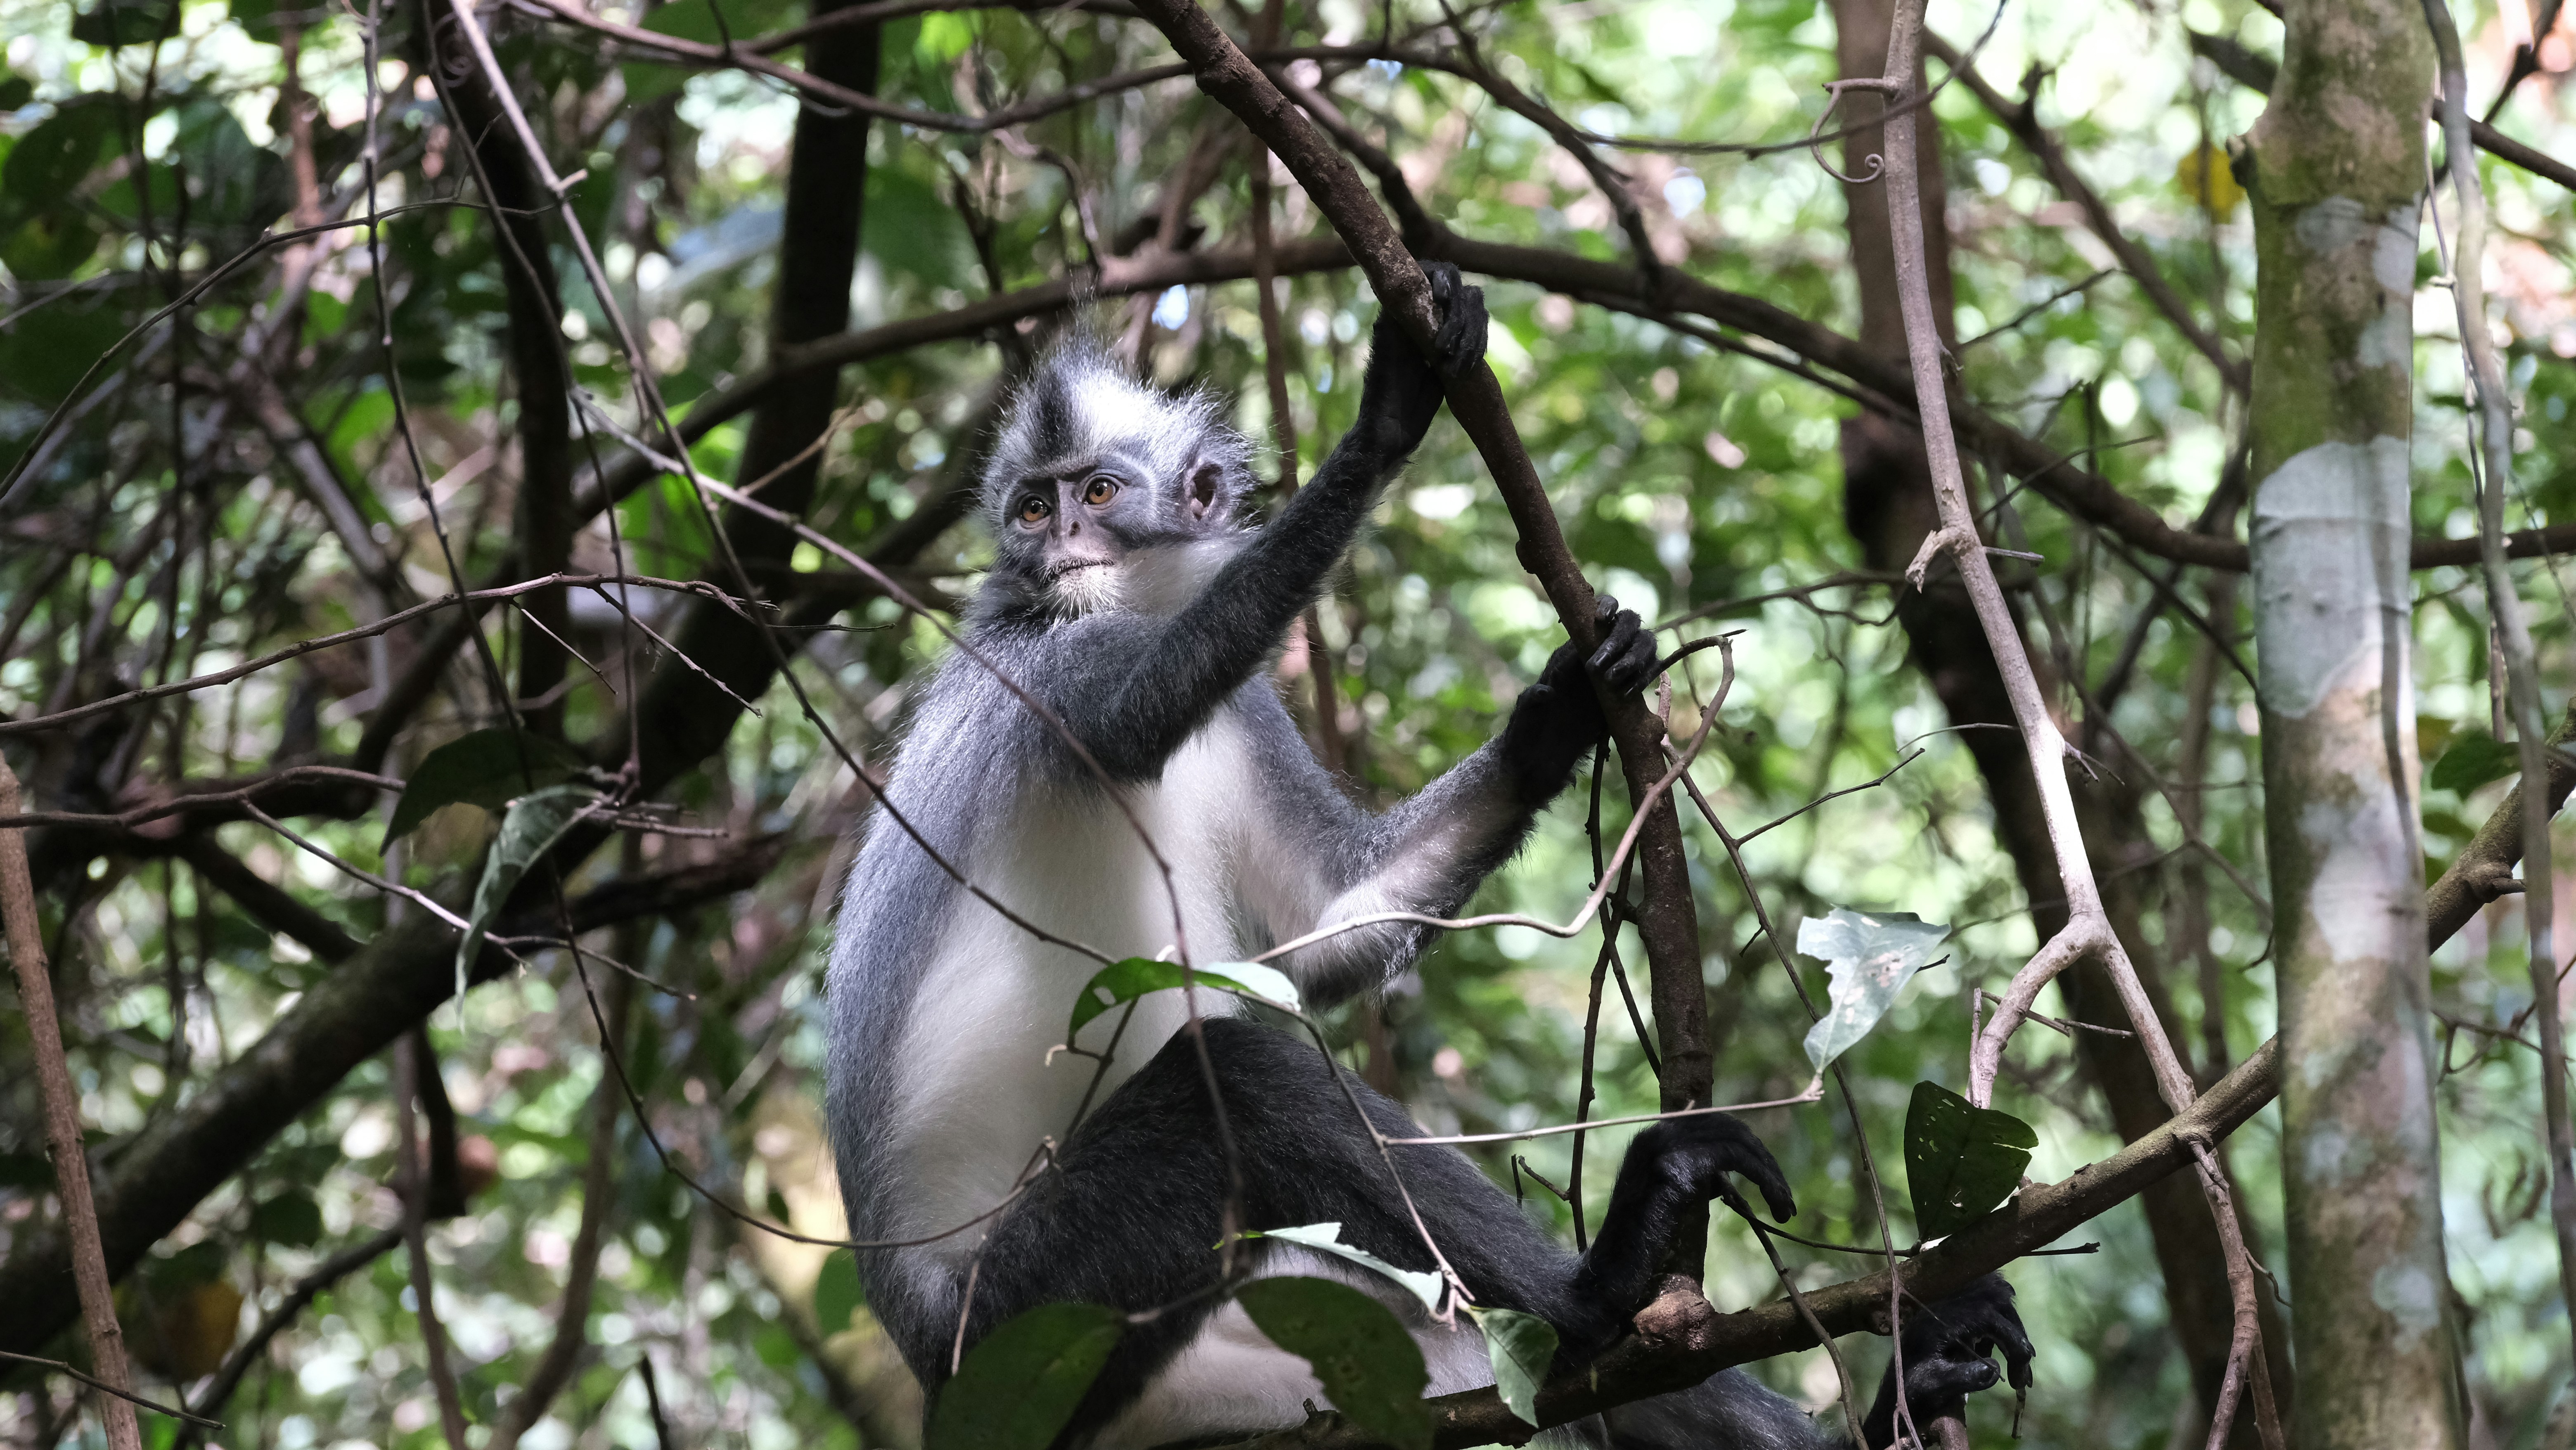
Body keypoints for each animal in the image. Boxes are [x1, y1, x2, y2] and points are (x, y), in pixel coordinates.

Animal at [824, 262, 2033, 1448]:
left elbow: (1325, 926)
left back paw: (1875, 1387)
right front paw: (1388, 417)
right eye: (1032, 507)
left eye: (1097, 495)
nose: (1057, 542)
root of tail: (930, 1369)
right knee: (1246, 1080)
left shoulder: (1235, 711)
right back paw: (1603, 1285)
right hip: (1034, 1319)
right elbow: (1138, 727)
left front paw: (1558, 716)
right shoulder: (1043, 669)